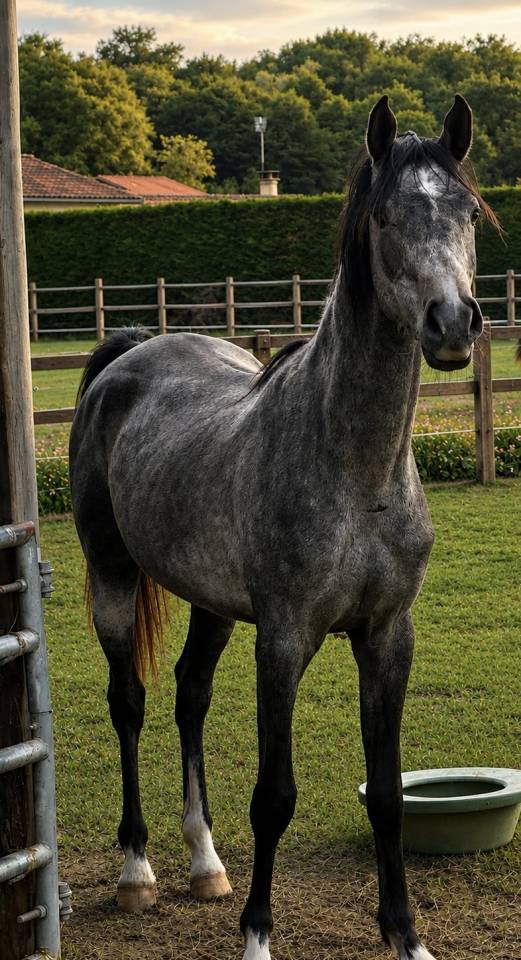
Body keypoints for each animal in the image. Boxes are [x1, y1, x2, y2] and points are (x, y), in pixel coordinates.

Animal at [69, 94, 497, 960]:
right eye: (382, 217)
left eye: (468, 211)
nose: (451, 322)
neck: (357, 476)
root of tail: (128, 355)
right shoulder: (284, 638)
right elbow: (274, 795)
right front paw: (257, 937)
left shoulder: (387, 635)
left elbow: (389, 793)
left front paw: (405, 935)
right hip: (111, 576)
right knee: (128, 701)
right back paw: (138, 872)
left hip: (208, 603)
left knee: (188, 698)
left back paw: (205, 862)